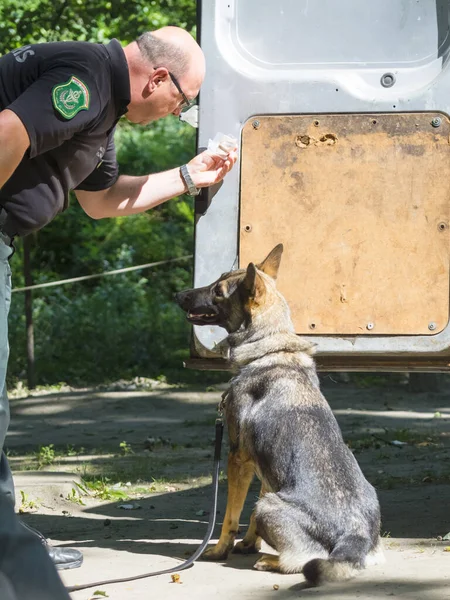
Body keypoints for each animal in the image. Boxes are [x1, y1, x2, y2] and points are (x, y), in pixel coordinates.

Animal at [176, 245, 384, 584]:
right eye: (216, 280)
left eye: (218, 292)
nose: (178, 294)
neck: (270, 349)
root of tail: (355, 535)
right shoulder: (266, 466)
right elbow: (250, 512)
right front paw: (249, 543)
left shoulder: (237, 458)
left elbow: (230, 516)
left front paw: (220, 550)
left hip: (271, 507)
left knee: (300, 560)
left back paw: (271, 561)